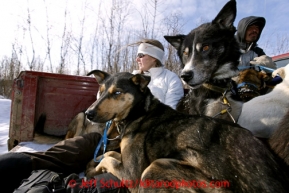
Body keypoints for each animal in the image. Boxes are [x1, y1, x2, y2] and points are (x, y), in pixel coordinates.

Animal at [84, 69, 288, 193]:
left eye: (117, 92)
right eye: (101, 90)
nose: (88, 113)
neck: (139, 111)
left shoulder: (131, 173)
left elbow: (108, 159)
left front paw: (94, 169)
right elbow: (109, 154)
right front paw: (95, 164)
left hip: (156, 168)